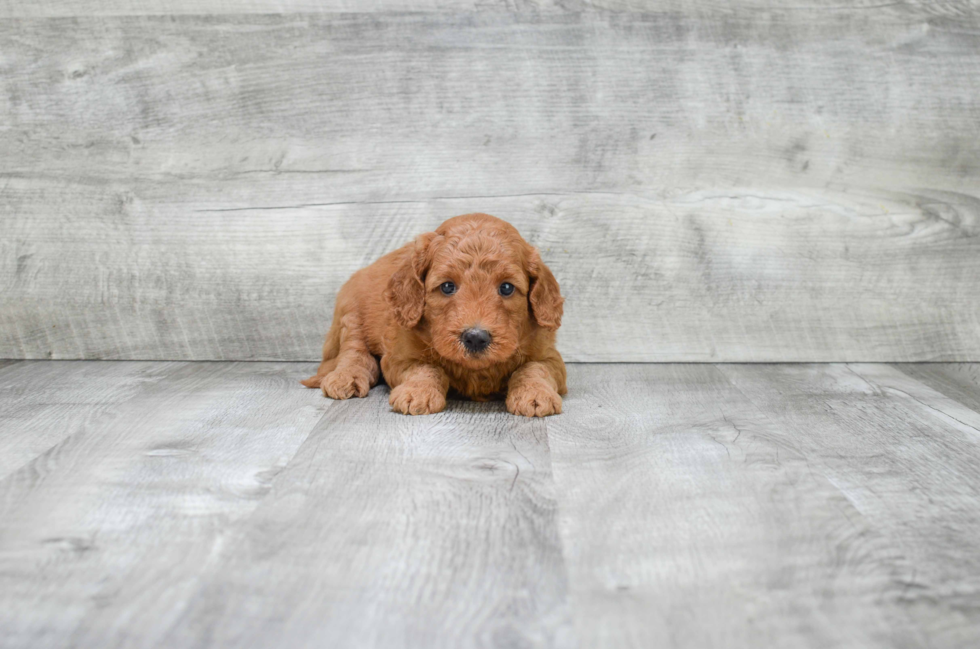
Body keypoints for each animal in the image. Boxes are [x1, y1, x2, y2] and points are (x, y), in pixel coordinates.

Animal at [302, 213, 572, 416]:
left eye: (506, 288)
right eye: (447, 286)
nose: (475, 338)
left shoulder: (549, 356)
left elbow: (533, 368)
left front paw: (535, 393)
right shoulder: (400, 356)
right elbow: (426, 368)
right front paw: (418, 392)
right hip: (352, 313)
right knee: (353, 352)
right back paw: (345, 377)